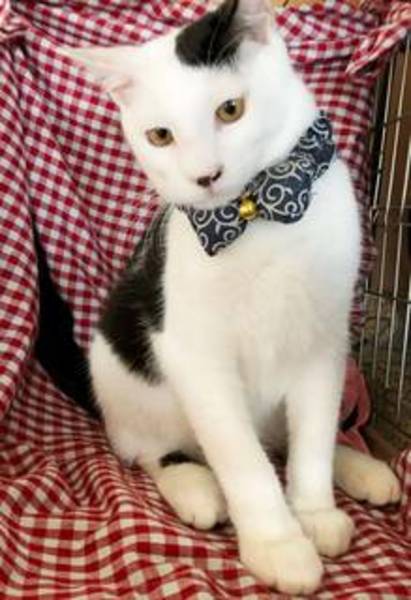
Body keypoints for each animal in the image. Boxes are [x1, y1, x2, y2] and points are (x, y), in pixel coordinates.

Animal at [62, 0, 401, 594]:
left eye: (230, 109)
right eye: (160, 136)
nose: (206, 176)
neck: (257, 214)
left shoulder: (325, 338)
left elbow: (312, 432)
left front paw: (313, 511)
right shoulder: (195, 354)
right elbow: (240, 457)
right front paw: (277, 542)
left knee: (288, 438)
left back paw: (359, 467)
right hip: (122, 372)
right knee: (154, 452)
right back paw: (196, 487)